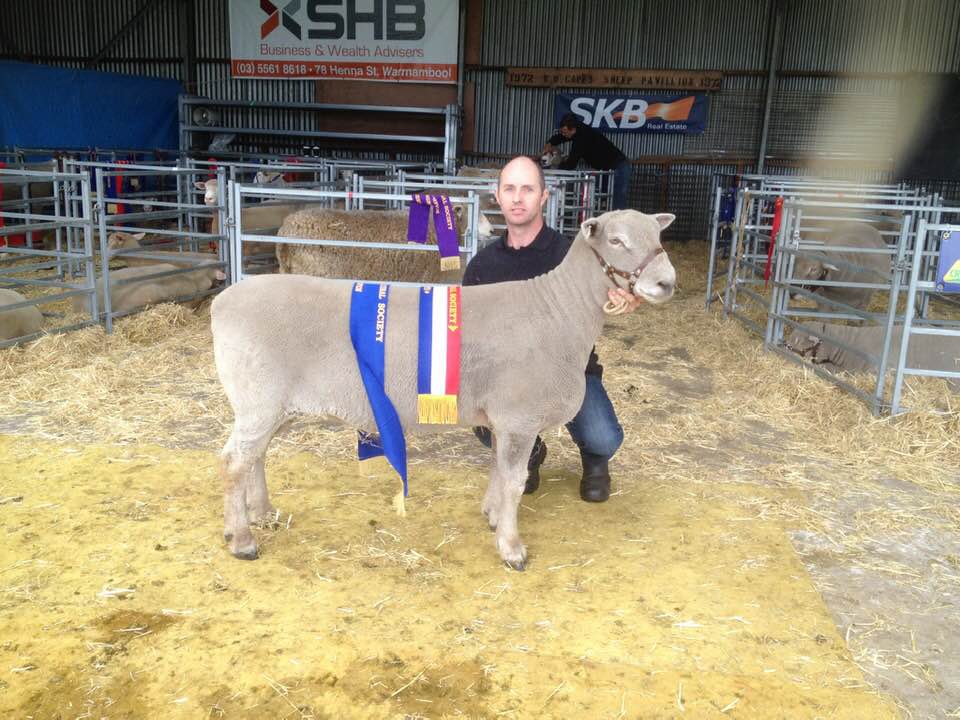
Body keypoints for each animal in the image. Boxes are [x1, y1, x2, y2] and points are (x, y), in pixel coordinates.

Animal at [210, 207, 676, 568]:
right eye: (616, 240)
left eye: (658, 237)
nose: (667, 283)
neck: (559, 309)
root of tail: (222, 301)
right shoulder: (519, 416)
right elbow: (514, 480)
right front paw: (512, 548)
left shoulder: (505, 419)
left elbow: (499, 471)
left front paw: (493, 516)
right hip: (259, 398)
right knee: (234, 461)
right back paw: (242, 539)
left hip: (274, 404)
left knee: (256, 456)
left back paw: (263, 513)